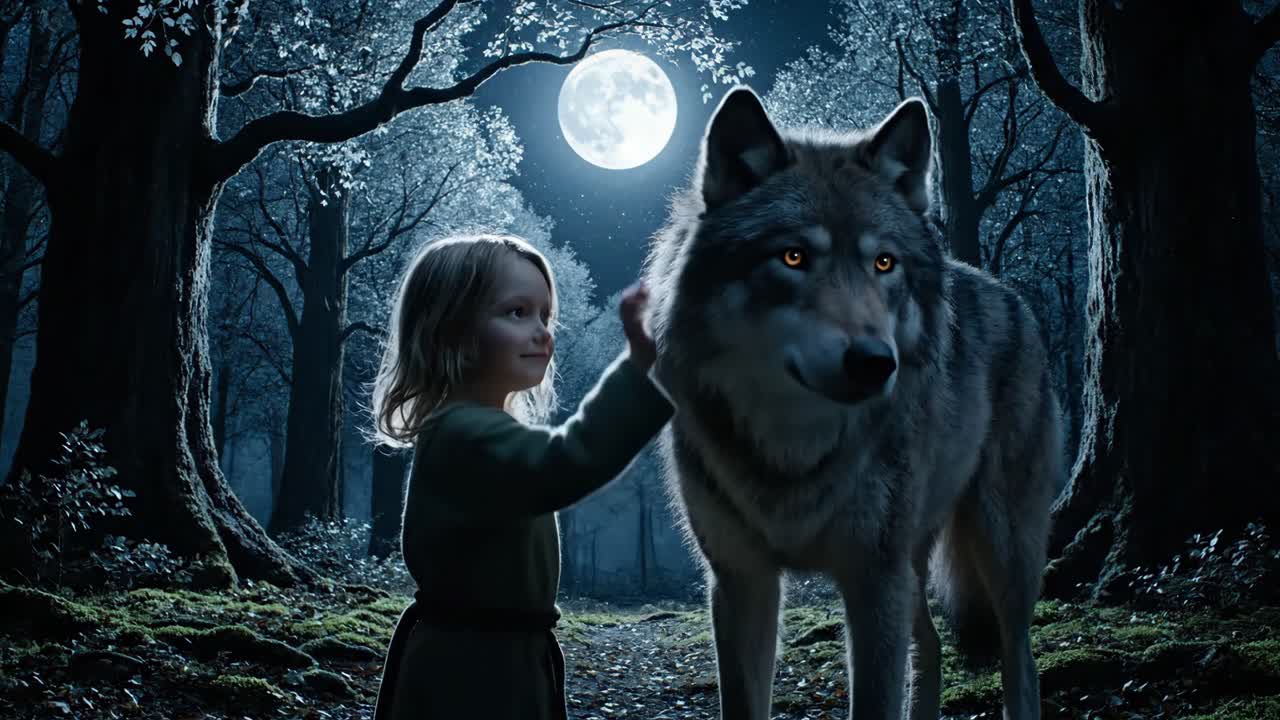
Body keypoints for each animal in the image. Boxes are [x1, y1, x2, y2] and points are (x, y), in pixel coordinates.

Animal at [642, 86, 1064, 720]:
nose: (874, 362)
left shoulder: (872, 579)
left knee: (1022, 660)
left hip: (1001, 550)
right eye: (793, 257)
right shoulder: (741, 580)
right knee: (931, 647)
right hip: (916, 564)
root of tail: (1009, 294)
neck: (795, 446)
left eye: (883, 262)